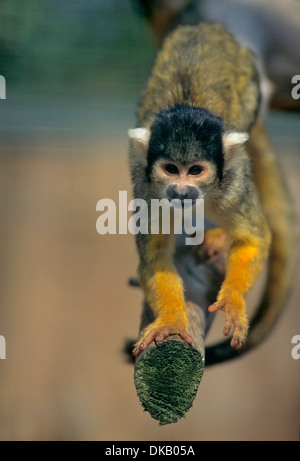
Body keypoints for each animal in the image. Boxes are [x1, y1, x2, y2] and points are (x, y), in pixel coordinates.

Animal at [127, 22, 276, 356]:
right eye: (171, 169)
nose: (182, 192)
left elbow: (254, 238)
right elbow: (155, 258)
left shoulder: (232, 183)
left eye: (195, 171)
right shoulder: (149, 189)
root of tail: (205, 26)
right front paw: (171, 319)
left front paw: (233, 301)